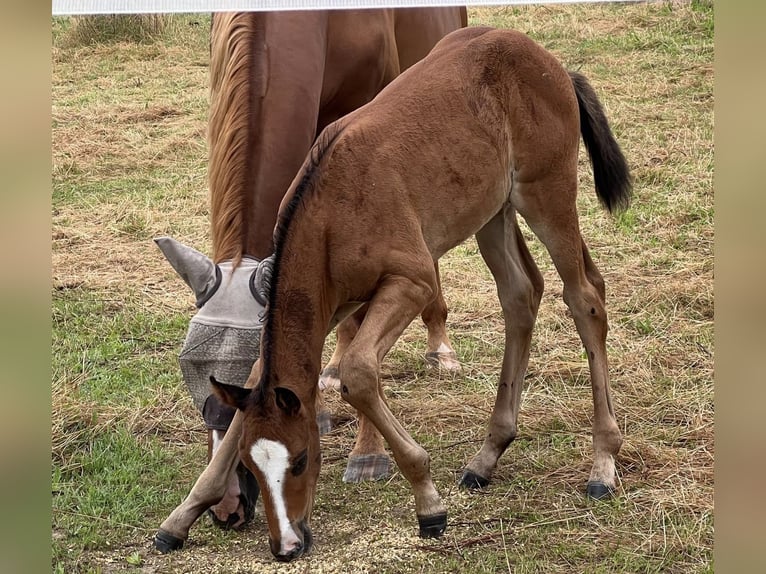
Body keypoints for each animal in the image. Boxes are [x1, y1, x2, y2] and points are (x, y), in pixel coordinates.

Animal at [208, 27, 632, 564]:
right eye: (251, 463)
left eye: (302, 459)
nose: (286, 544)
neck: (329, 213)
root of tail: (548, 61)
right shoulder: (337, 303)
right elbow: (269, 374)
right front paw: (186, 515)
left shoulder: (412, 283)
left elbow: (358, 372)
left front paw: (428, 502)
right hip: (491, 211)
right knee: (521, 294)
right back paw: (488, 454)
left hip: (547, 193)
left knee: (584, 297)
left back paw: (603, 463)